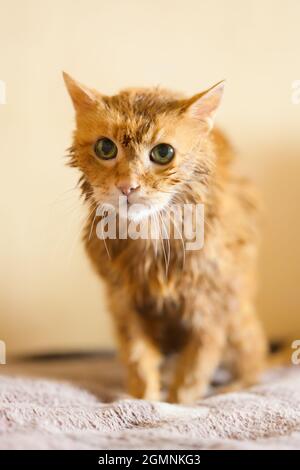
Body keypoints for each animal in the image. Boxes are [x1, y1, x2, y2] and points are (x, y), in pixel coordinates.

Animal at [63, 72, 268, 404]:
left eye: (163, 153)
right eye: (105, 148)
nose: (127, 186)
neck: (150, 237)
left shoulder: (210, 307)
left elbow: (193, 372)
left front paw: (176, 404)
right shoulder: (123, 302)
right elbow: (139, 361)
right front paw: (142, 401)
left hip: (239, 319)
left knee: (255, 364)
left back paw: (231, 388)